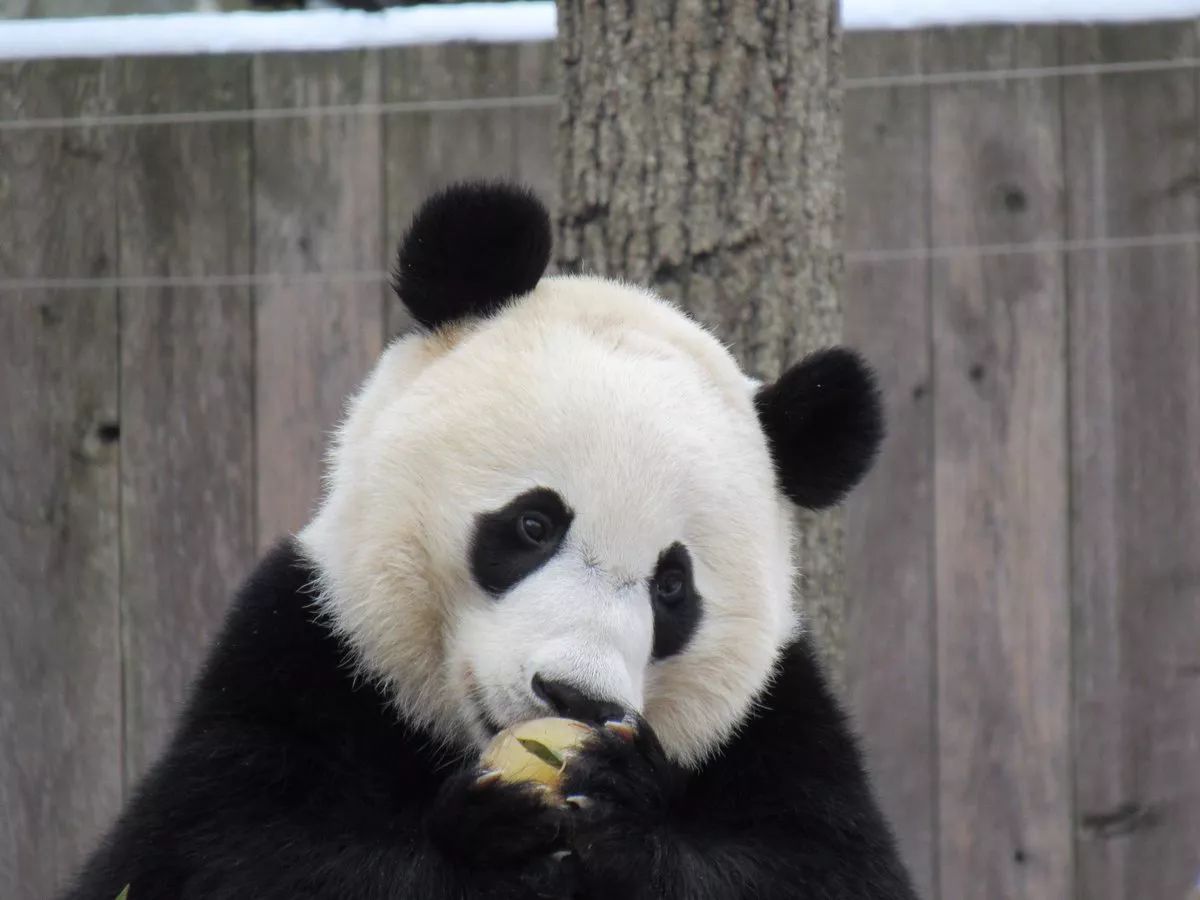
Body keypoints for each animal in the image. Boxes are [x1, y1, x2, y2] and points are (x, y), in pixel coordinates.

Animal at [63, 183, 916, 900]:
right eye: (533, 524)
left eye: (673, 586)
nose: (576, 697)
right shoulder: (301, 651)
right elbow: (226, 850)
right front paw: (485, 843)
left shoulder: (773, 722)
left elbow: (823, 866)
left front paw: (630, 807)